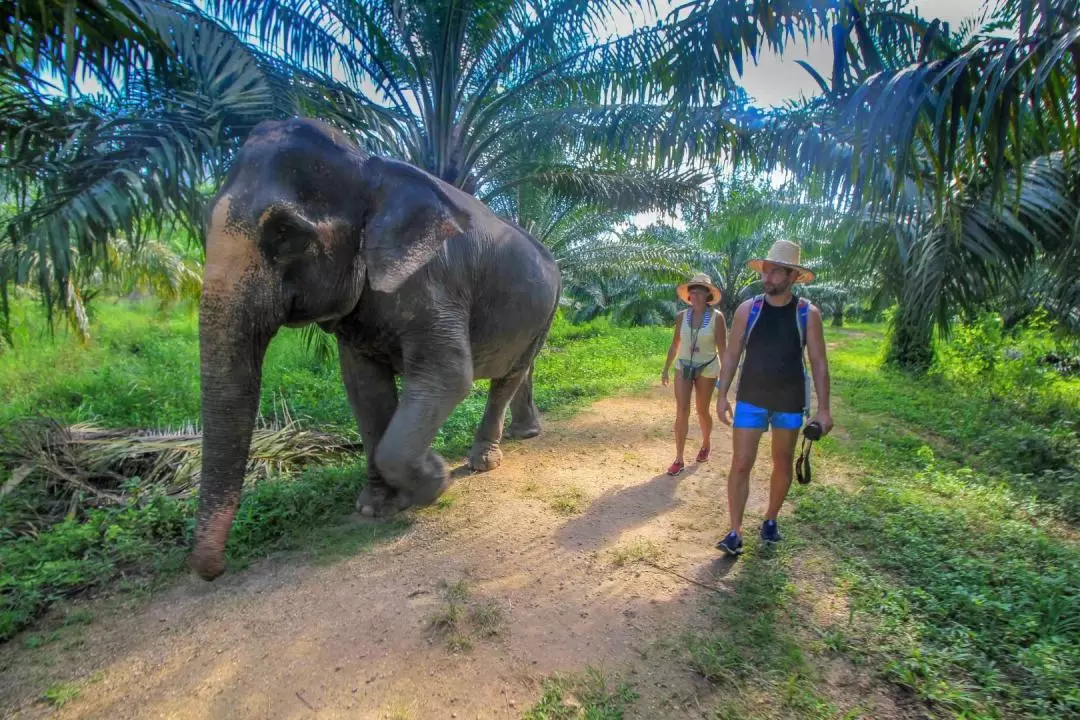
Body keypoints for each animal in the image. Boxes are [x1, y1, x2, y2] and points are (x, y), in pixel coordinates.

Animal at [193, 117, 561, 578]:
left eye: (285, 232)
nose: (215, 569)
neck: (368, 166)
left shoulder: (435, 280)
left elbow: (447, 376)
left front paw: (434, 477)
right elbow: (364, 389)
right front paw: (374, 507)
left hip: (548, 307)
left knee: (510, 374)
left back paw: (483, 461)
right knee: (522, 369)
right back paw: (524, 433)